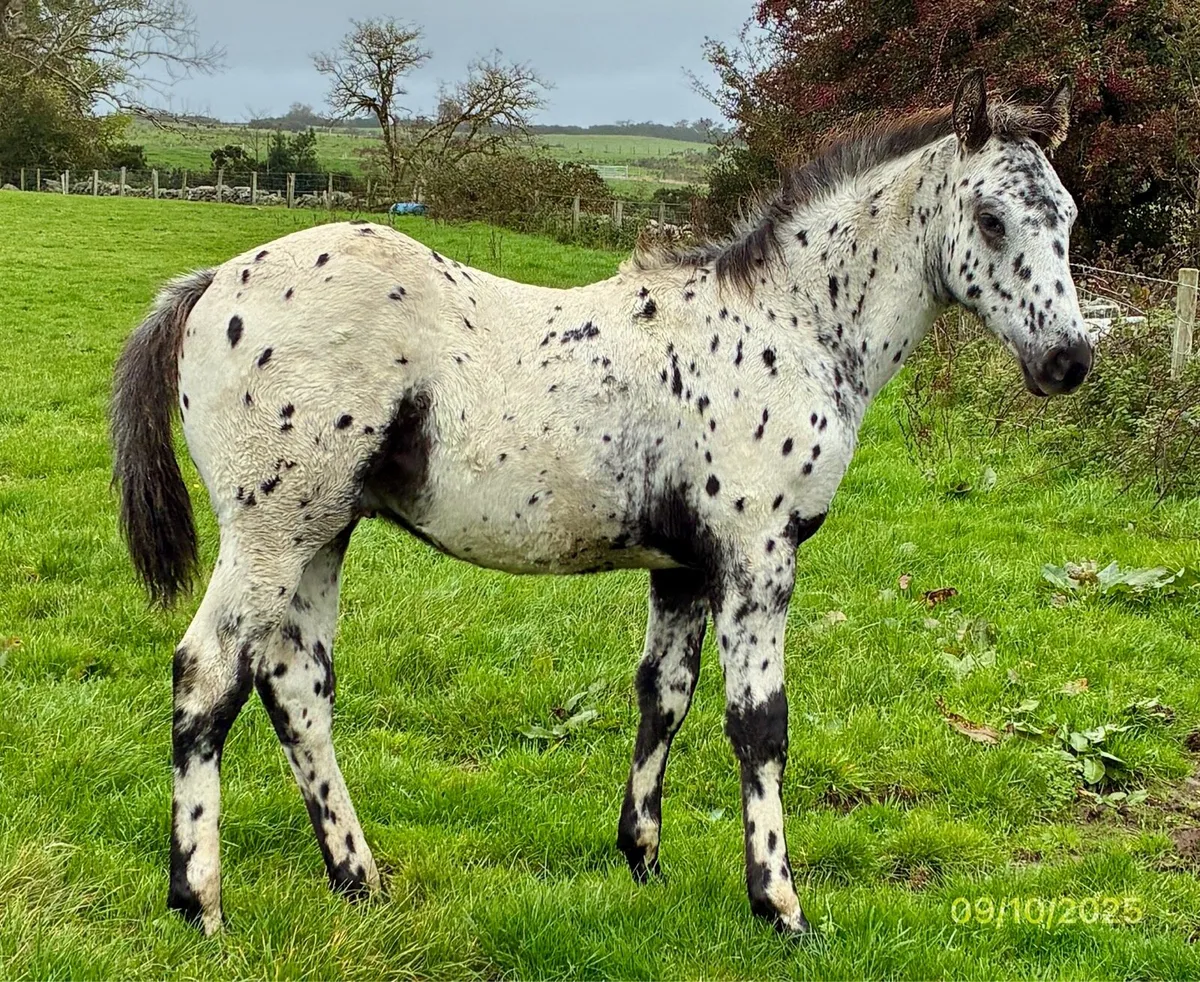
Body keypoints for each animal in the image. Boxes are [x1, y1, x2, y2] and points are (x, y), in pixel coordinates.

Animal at [111, 70, 1092, 936]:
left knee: (296, 687)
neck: (788, 327)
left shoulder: (684, 570)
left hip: (321, 535)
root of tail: (211, 283)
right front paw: (779, 906)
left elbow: (665, 698)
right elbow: (759, 726)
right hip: (270, 534)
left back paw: (359, 880)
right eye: (991, 219)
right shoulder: (757, 558)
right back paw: (200, 904)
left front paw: (642, 858)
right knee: (207, 678)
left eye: (1070, 218)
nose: (1070, 361)